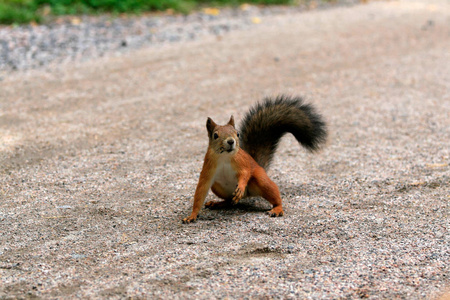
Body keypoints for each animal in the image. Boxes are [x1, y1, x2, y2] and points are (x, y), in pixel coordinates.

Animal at [183, 95, 326, 224]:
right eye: (215, 135)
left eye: (237, 133)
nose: (231, 141)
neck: (224, 157)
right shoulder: (208, 169)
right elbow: (201, 190)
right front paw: (192, 215)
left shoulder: (242, 162)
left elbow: (245, 172)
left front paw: (241, 186)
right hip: (217, 187)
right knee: (229, 201)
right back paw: (218, 203)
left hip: (260, 179)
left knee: (272, 193)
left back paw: (277, 208)